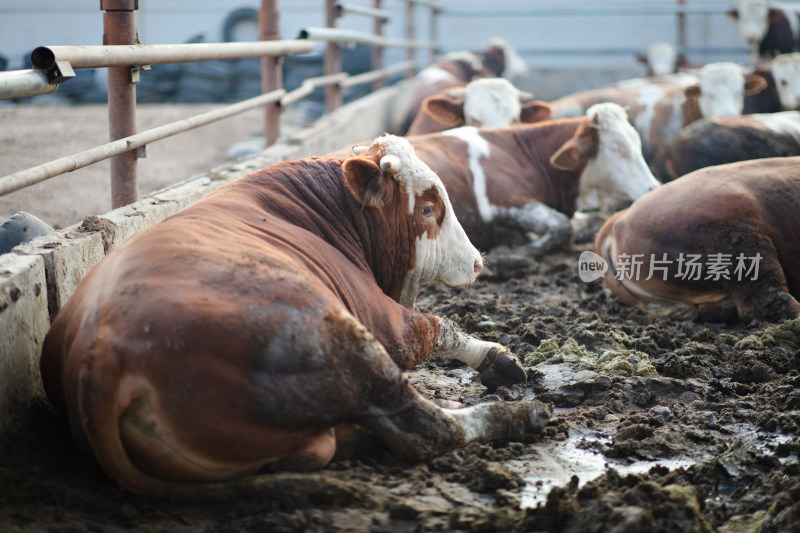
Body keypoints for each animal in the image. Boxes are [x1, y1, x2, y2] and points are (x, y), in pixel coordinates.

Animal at [39, 135, 552, 496]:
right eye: (427, 208)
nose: (479, 262)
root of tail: (100, 348)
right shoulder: (384, 321)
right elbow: (439, 327)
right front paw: (497, 357)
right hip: (339, 343)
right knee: (423, 429)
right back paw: (522, 415)